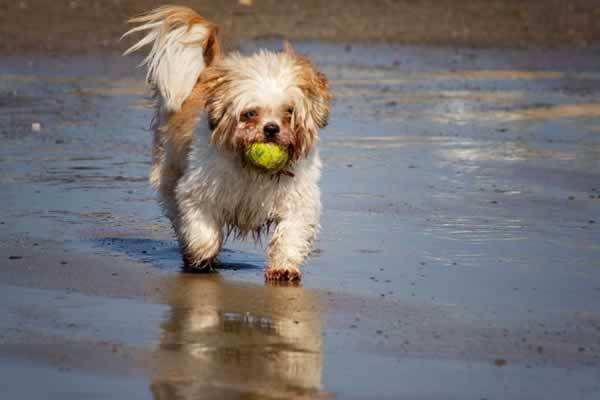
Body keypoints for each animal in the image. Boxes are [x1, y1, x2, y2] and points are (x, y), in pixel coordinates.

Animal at [122, 6, 328, 282]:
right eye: (250, 113)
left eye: (289, 112)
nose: (271, 129)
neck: (252, 169)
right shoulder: (199, 193)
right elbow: (202, 230)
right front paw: (201, 256)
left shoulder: (298, 201)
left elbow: (290, 235)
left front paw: (283, 266)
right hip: (169, 174)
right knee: (176, 211)